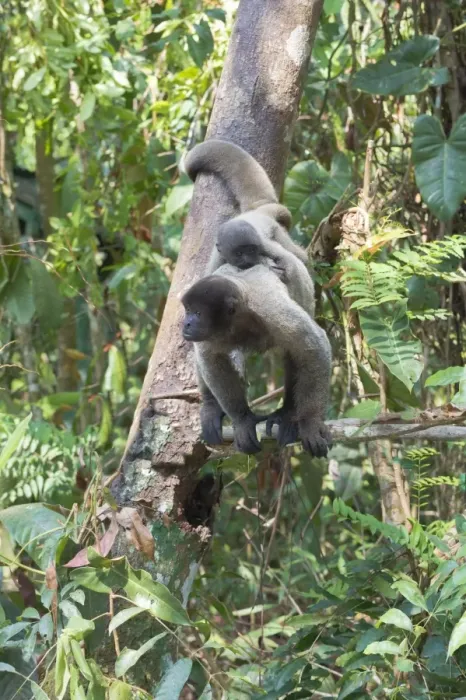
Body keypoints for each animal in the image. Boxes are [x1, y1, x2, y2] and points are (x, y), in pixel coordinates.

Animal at [181, 264, 332, 457]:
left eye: (198, 313)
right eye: (188, 311)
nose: (186, 323)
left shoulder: (274, 312)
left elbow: (314, 348)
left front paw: (311, 423)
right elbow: (209, 357)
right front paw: (243, 420)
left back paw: (288, 415)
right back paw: (211, 407)